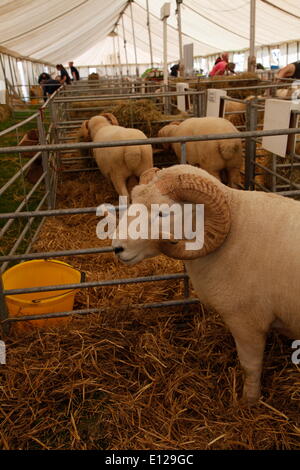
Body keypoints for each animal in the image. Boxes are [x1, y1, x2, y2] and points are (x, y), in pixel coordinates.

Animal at [112, 164, 300, 404]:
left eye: (163, 213)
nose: (117, 247)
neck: (235, 231)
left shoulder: (247, 323)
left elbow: (250, 367)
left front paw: (248, 402)